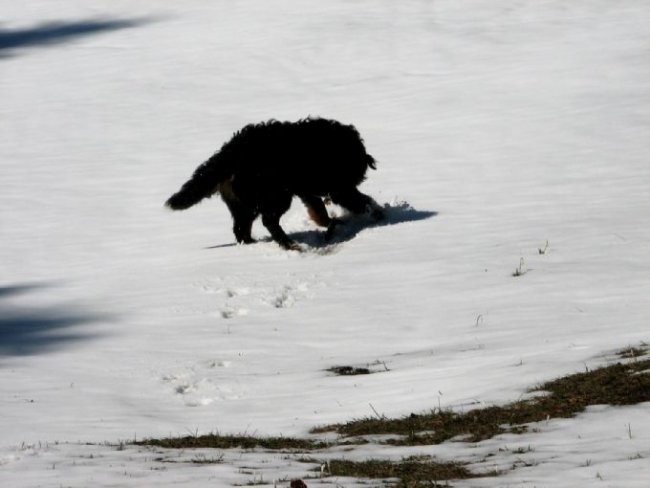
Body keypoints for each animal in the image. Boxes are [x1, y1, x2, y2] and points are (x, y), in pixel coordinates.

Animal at [165, 117, 382, 248]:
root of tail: (230, 153)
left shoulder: (307, 189)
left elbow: (319, 210)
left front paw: (331, 222)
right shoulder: (339, 187)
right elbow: (360, 201)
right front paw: (378, 213)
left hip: (243, 203)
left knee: (241, 228)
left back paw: (253, 244)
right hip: (275, 195)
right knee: (268, 221)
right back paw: (289, 244)